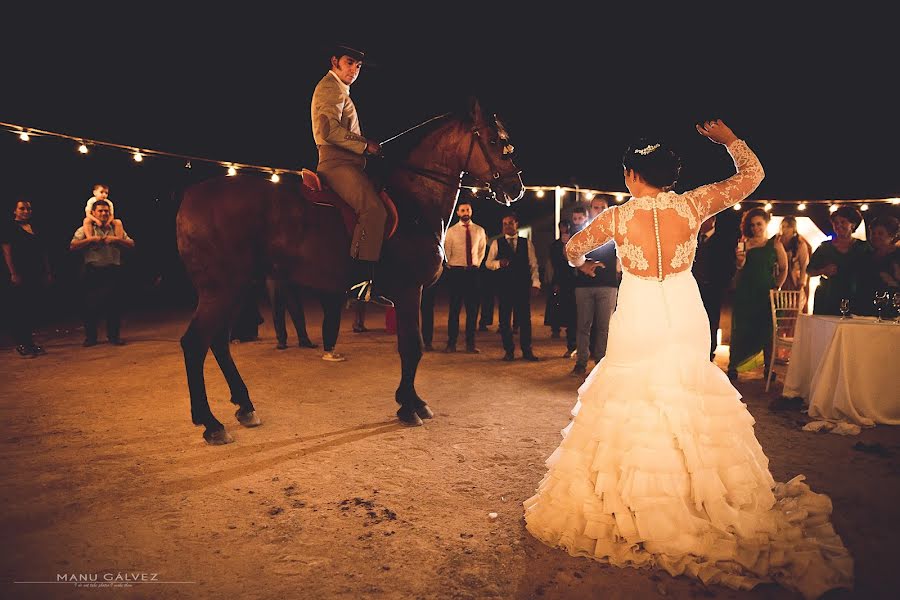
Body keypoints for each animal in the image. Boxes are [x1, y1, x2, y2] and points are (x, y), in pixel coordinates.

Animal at [175, 98, 524, 442]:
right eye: (494, 141)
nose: (515, 187)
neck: (414, 200)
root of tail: (191, 197)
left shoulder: (411, 295)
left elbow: (411, 347)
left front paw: (413, 402)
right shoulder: (409, 292)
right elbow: (412, 347)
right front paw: (408, 408)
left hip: (238, 288)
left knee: (218, 342)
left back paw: (245, 406)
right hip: (222, 289)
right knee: (195, 344)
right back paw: (210, 423)